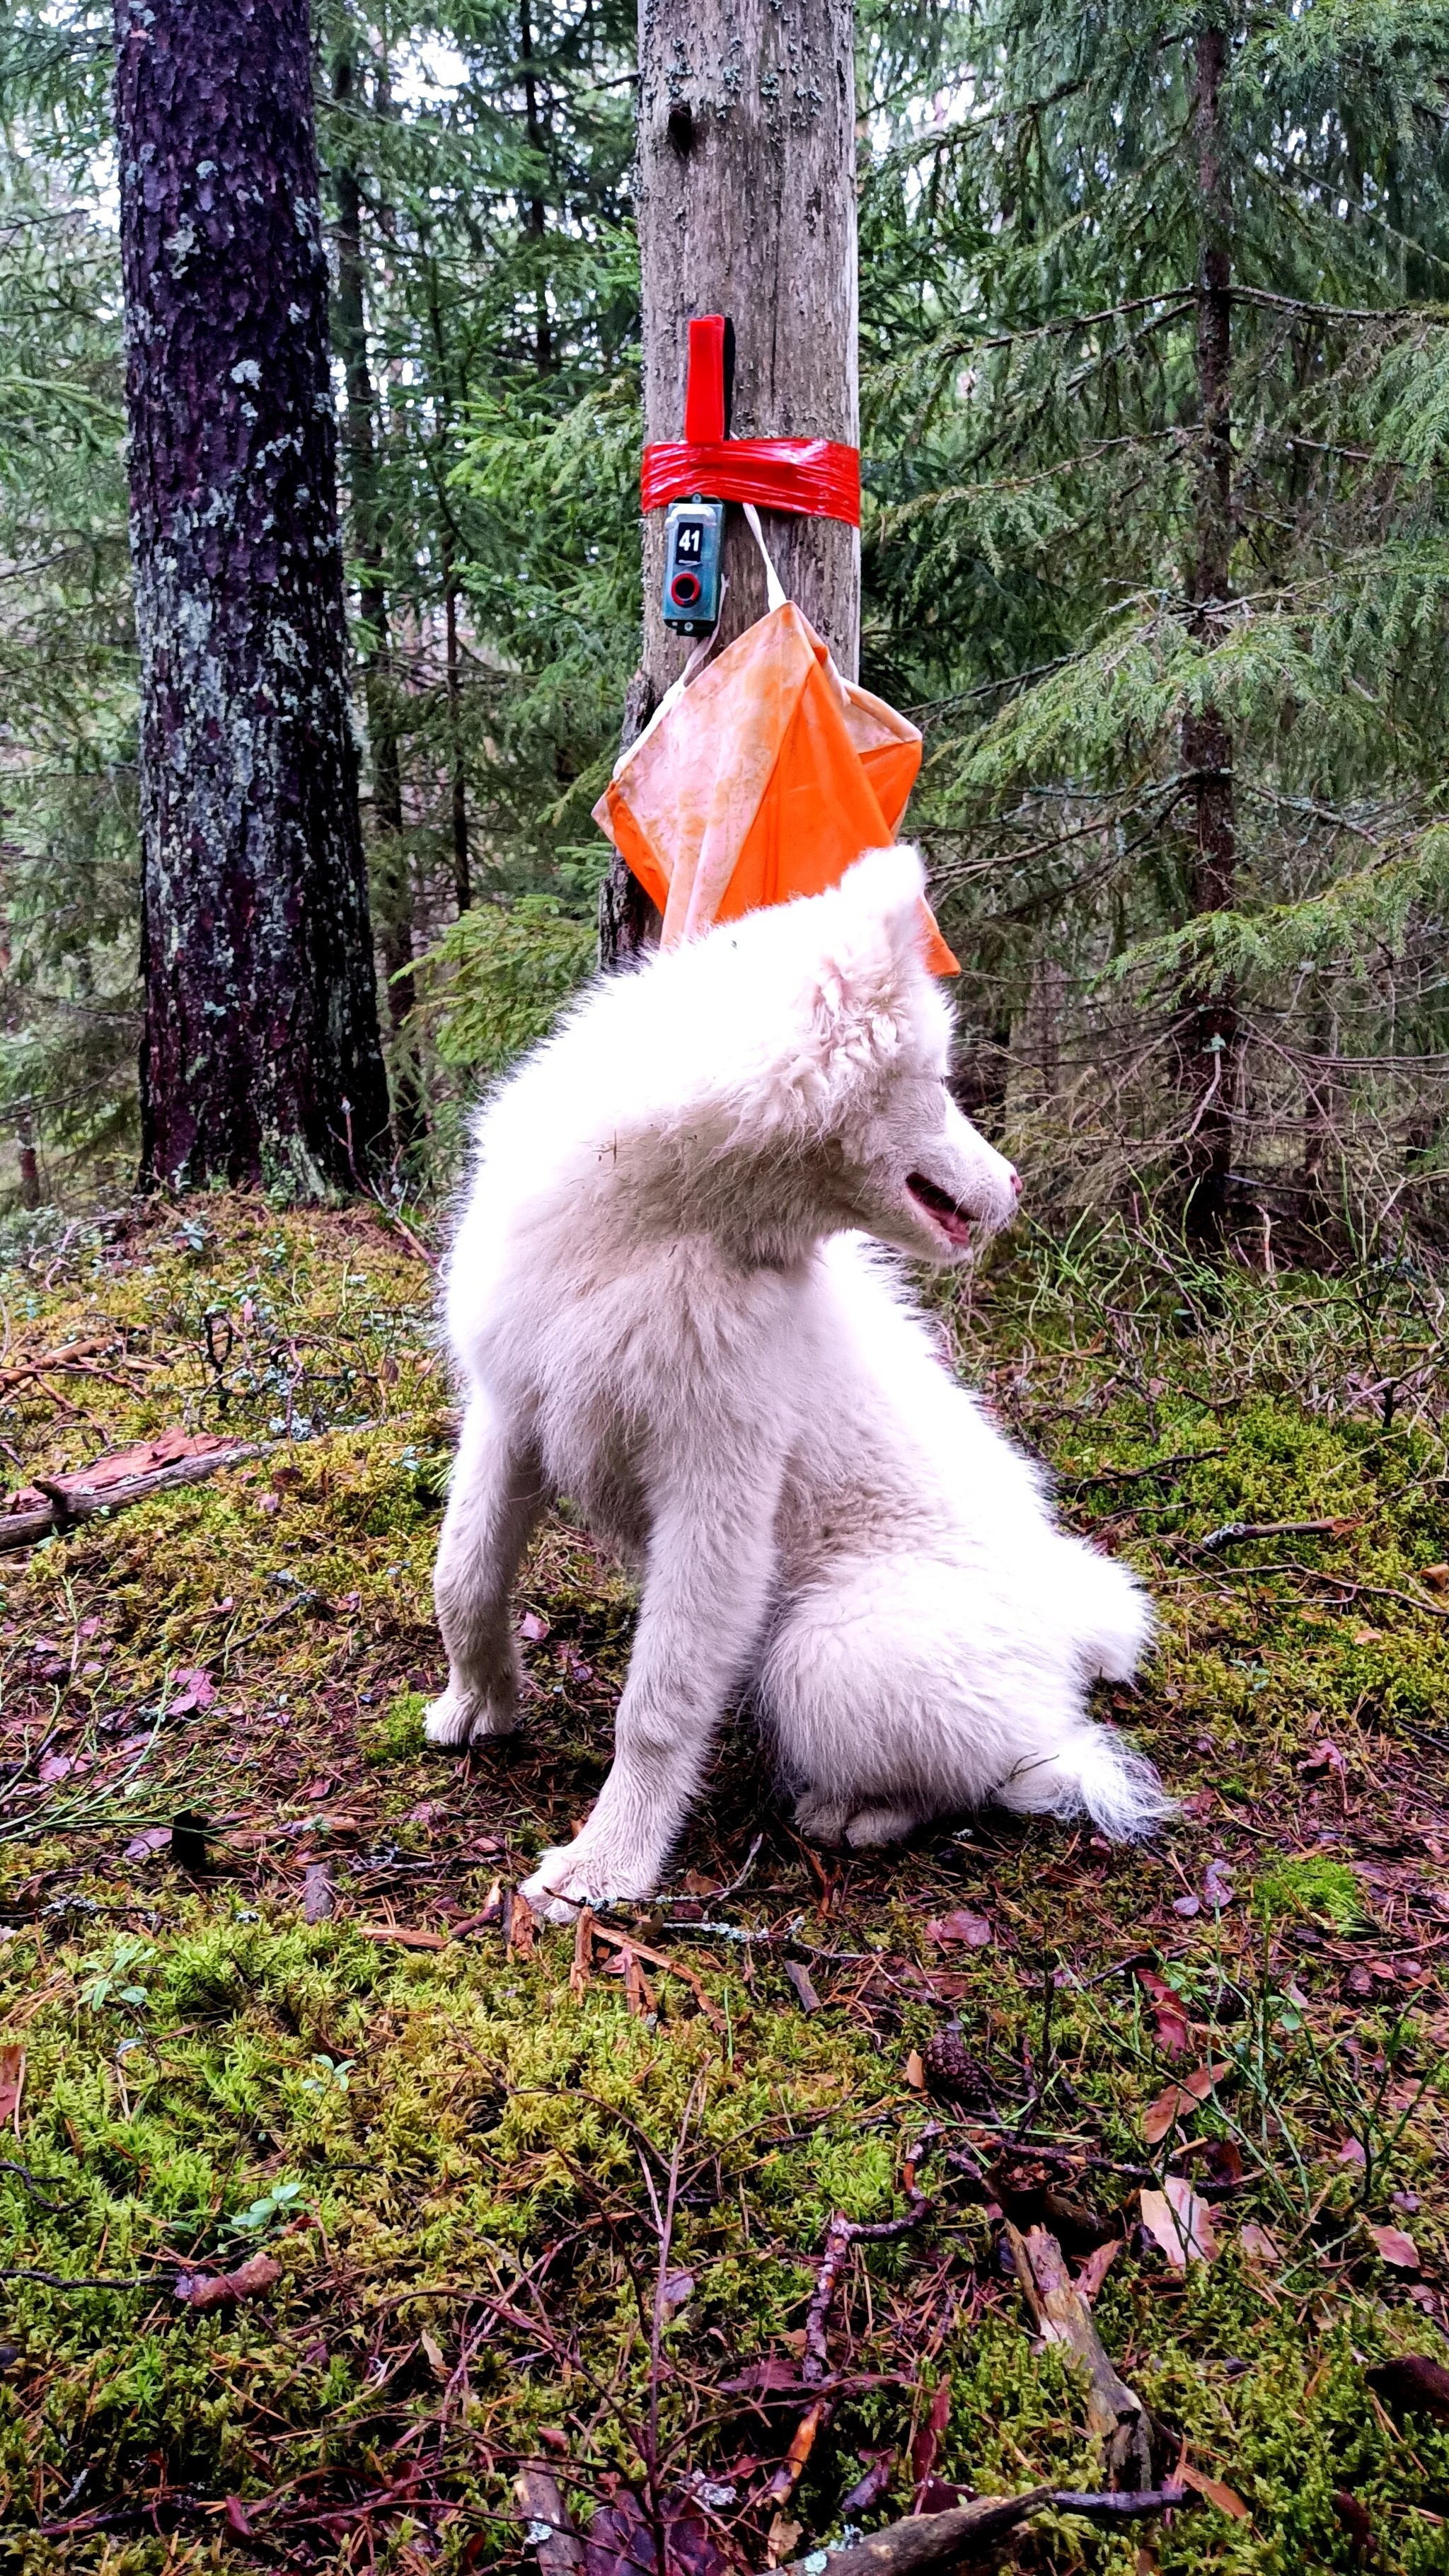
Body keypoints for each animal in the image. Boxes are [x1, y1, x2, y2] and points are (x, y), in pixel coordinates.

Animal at [427, 844, 1168, 1916]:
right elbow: (464, 1576)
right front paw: (479, 1702)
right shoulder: (511, 1408)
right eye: (939, 1082)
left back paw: (855, 1811)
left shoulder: (717, 1487)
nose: (1018, 1186)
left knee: (1021, 1766)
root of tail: (1061, 1631)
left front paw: (609, 1864)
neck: (651, 1234)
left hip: (828, 1650)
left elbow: (656, 1704)